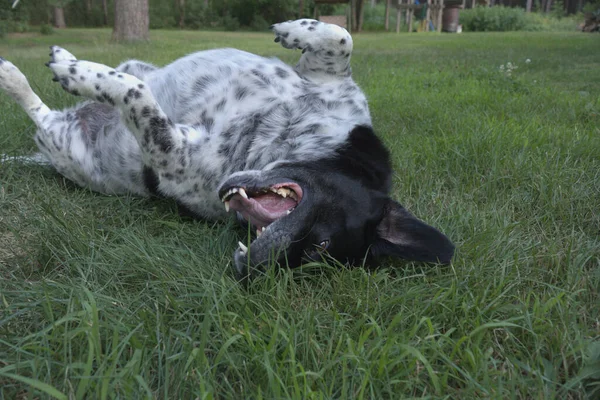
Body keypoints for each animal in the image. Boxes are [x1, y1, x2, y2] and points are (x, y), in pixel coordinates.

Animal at [0, 19, 452, 278]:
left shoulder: (172, 155)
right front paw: (294, 27)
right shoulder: (334, 90)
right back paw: (62, 56)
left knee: (44, 114)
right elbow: (340, 39)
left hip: (64, 144)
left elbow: (136, 95)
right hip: (133, 64)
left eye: (316, 253)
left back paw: (22, 75)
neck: (289, 138)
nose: (251, 271)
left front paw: (82, 76)